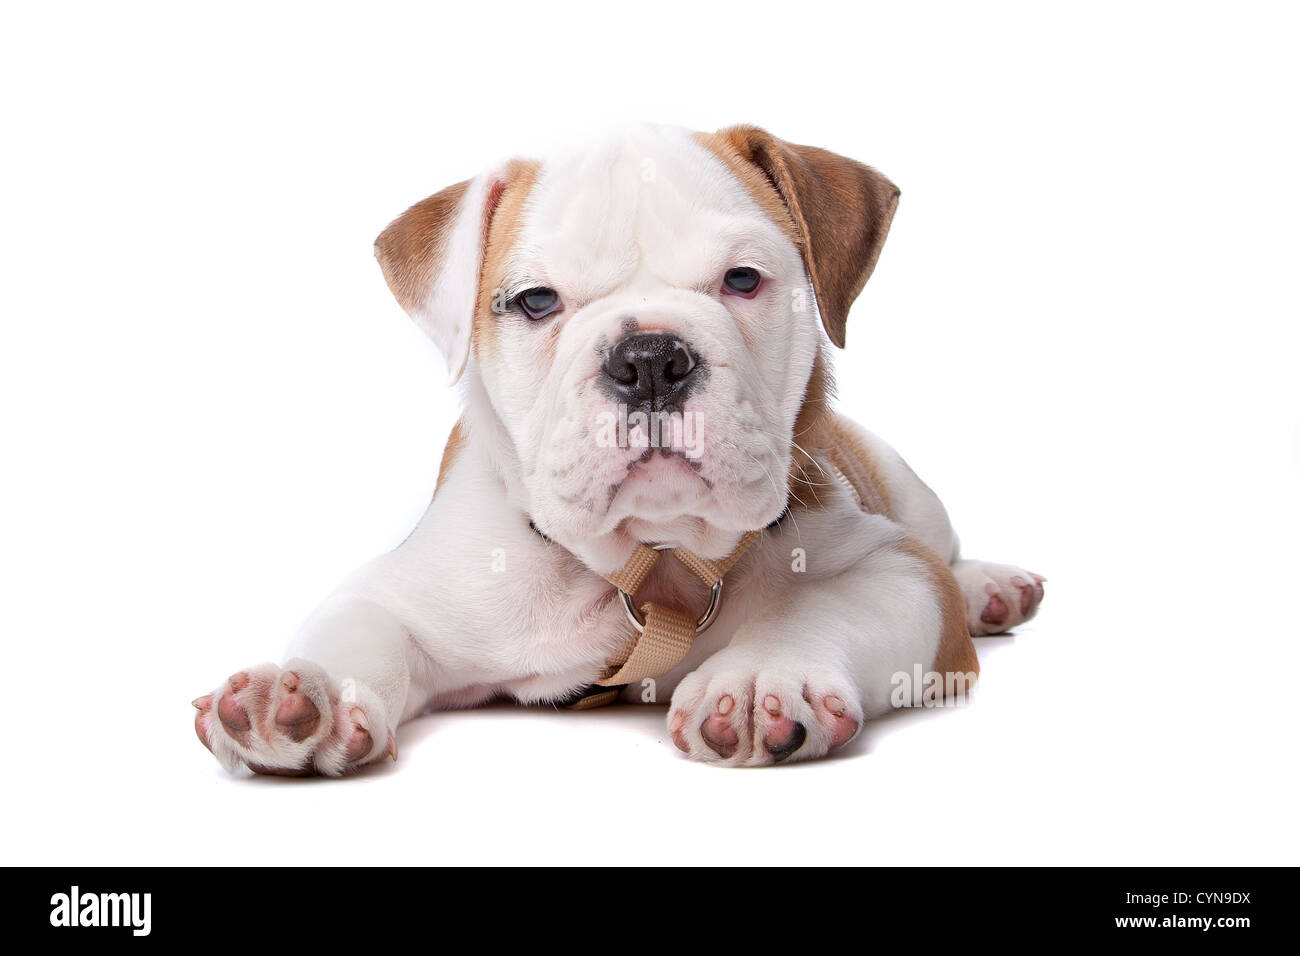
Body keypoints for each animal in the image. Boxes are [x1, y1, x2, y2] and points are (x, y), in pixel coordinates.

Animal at [192, 123, 1045, 775]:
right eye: (536, 301)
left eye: (743, 280)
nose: (651, 359)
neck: (654, 560)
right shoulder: (401, 591)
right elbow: (358, 633)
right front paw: (308, 694)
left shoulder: (899, 570)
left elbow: (828, 604)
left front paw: (762, 676)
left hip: (905, 489)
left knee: (947, 548)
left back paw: (990, 588)